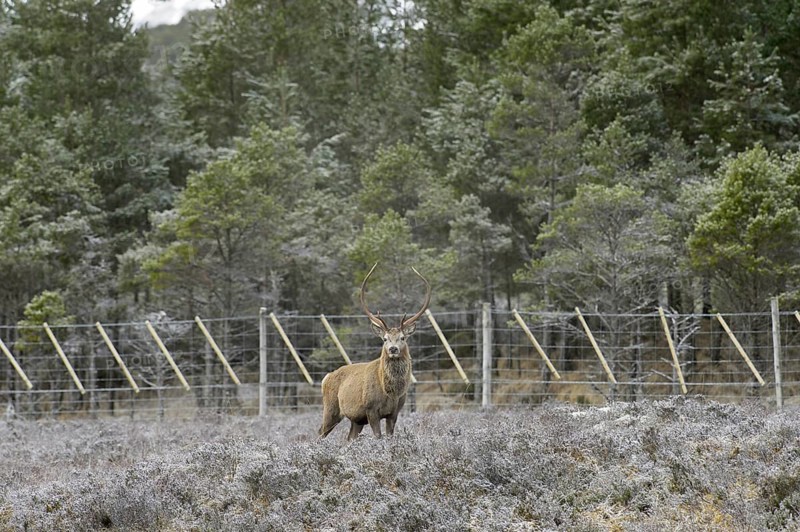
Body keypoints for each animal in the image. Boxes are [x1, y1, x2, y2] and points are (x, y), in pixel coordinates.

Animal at [318, 262, 431, 441]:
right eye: (384, 339)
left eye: (402, 338)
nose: (393, 349)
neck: (391, 393)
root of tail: (326, 378)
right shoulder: (371, 410)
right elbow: (378, 436)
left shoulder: (394, 413)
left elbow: (389, 436)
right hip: (331, 409)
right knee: (319, 434)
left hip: (356, 420)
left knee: (349, 438)